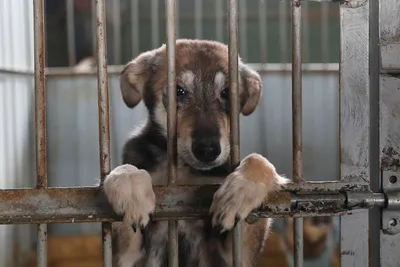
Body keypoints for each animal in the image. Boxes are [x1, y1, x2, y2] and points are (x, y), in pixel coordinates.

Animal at [103, 38, 290, 267]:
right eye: (178, 91)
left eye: (227, 93)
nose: (208, 149)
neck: (183, 171)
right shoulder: (125, 256)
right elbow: (126, 169)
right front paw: (130, 187)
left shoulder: (239, 255)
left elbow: (258, 160)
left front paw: (239, 191)